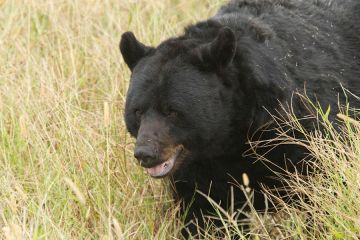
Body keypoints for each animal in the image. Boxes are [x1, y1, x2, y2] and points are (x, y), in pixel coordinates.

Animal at [119, 0, 358, 236]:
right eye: (137, 111)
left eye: (172, 111)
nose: (145, 153)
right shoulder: (199, 170)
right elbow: (206, 215)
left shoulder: (300, 128)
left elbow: (323, 190)